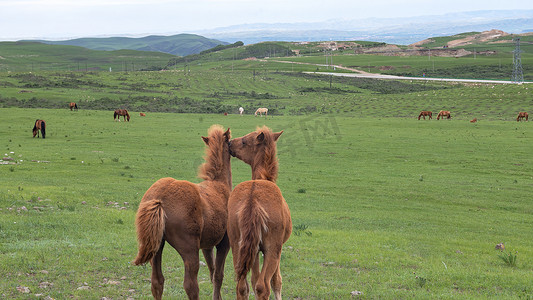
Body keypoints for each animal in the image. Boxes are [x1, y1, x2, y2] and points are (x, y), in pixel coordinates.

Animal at [133, 124, 231, 300]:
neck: (220, 185)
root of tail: (159, 197)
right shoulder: (223, 242)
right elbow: (218, 275)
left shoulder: (207, 246)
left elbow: (212, 272)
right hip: (189, 250)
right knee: (191, 285)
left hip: (157, 247)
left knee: (157, 281)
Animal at [225, 126, 288, 300]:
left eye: (244, 141)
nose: (229, 143)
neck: (262, 178)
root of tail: (252, 201)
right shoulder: (276, 250)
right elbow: (276, 282)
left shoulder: (252, 250)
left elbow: (252, 280)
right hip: (272, 250)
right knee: (263, 286)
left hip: (238, 246)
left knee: (242, 286)